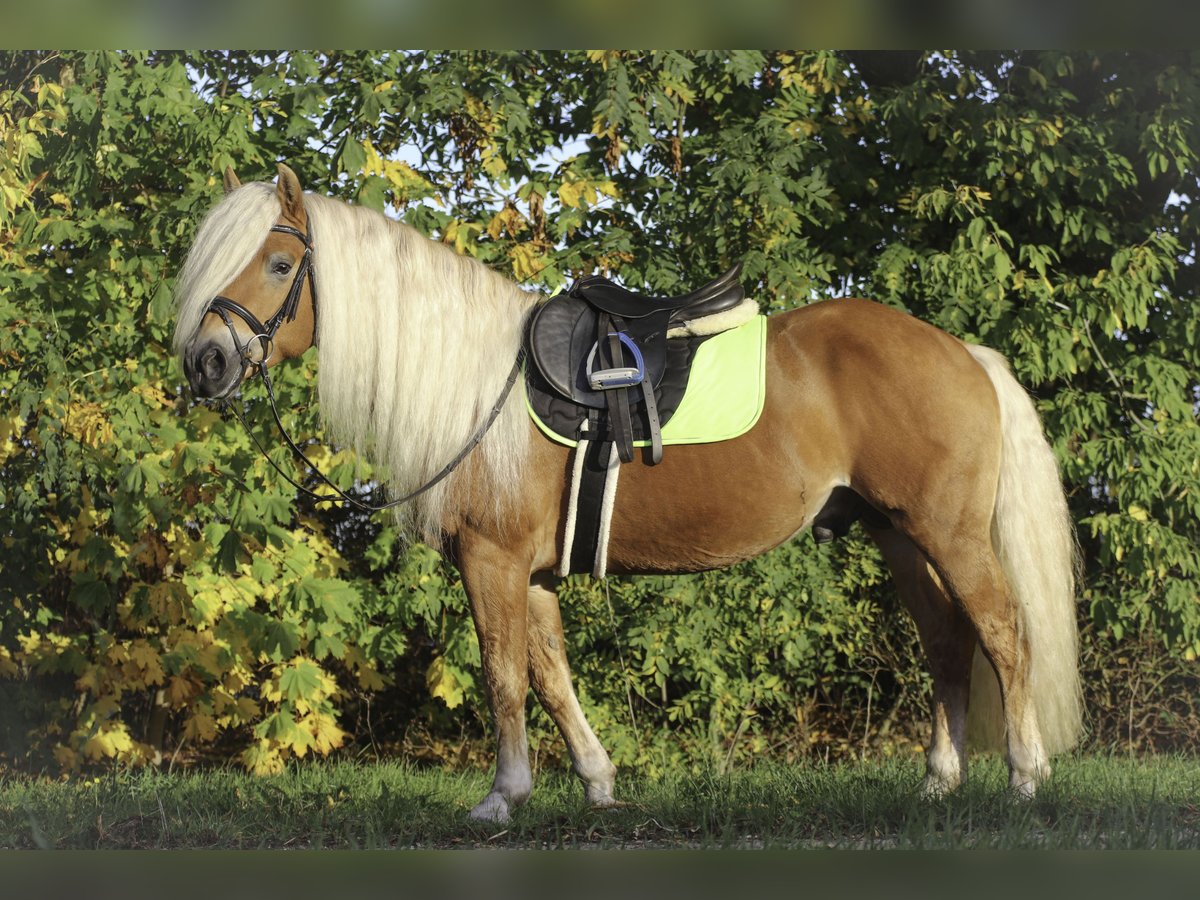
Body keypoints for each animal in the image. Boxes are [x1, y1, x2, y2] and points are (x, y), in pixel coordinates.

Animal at [173, 164, 1082, 823]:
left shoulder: (491, 561)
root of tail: (964, 352)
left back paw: (1024, 777)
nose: (206, 363)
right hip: (899, 533)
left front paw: (500, 799)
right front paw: (598, 783)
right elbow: (551, 673)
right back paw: (939, 782)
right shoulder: (531, 570)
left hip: (947, 533)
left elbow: (504, 677)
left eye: (280, 264)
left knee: (1003, 633)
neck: (476, 387)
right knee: (947, 642)